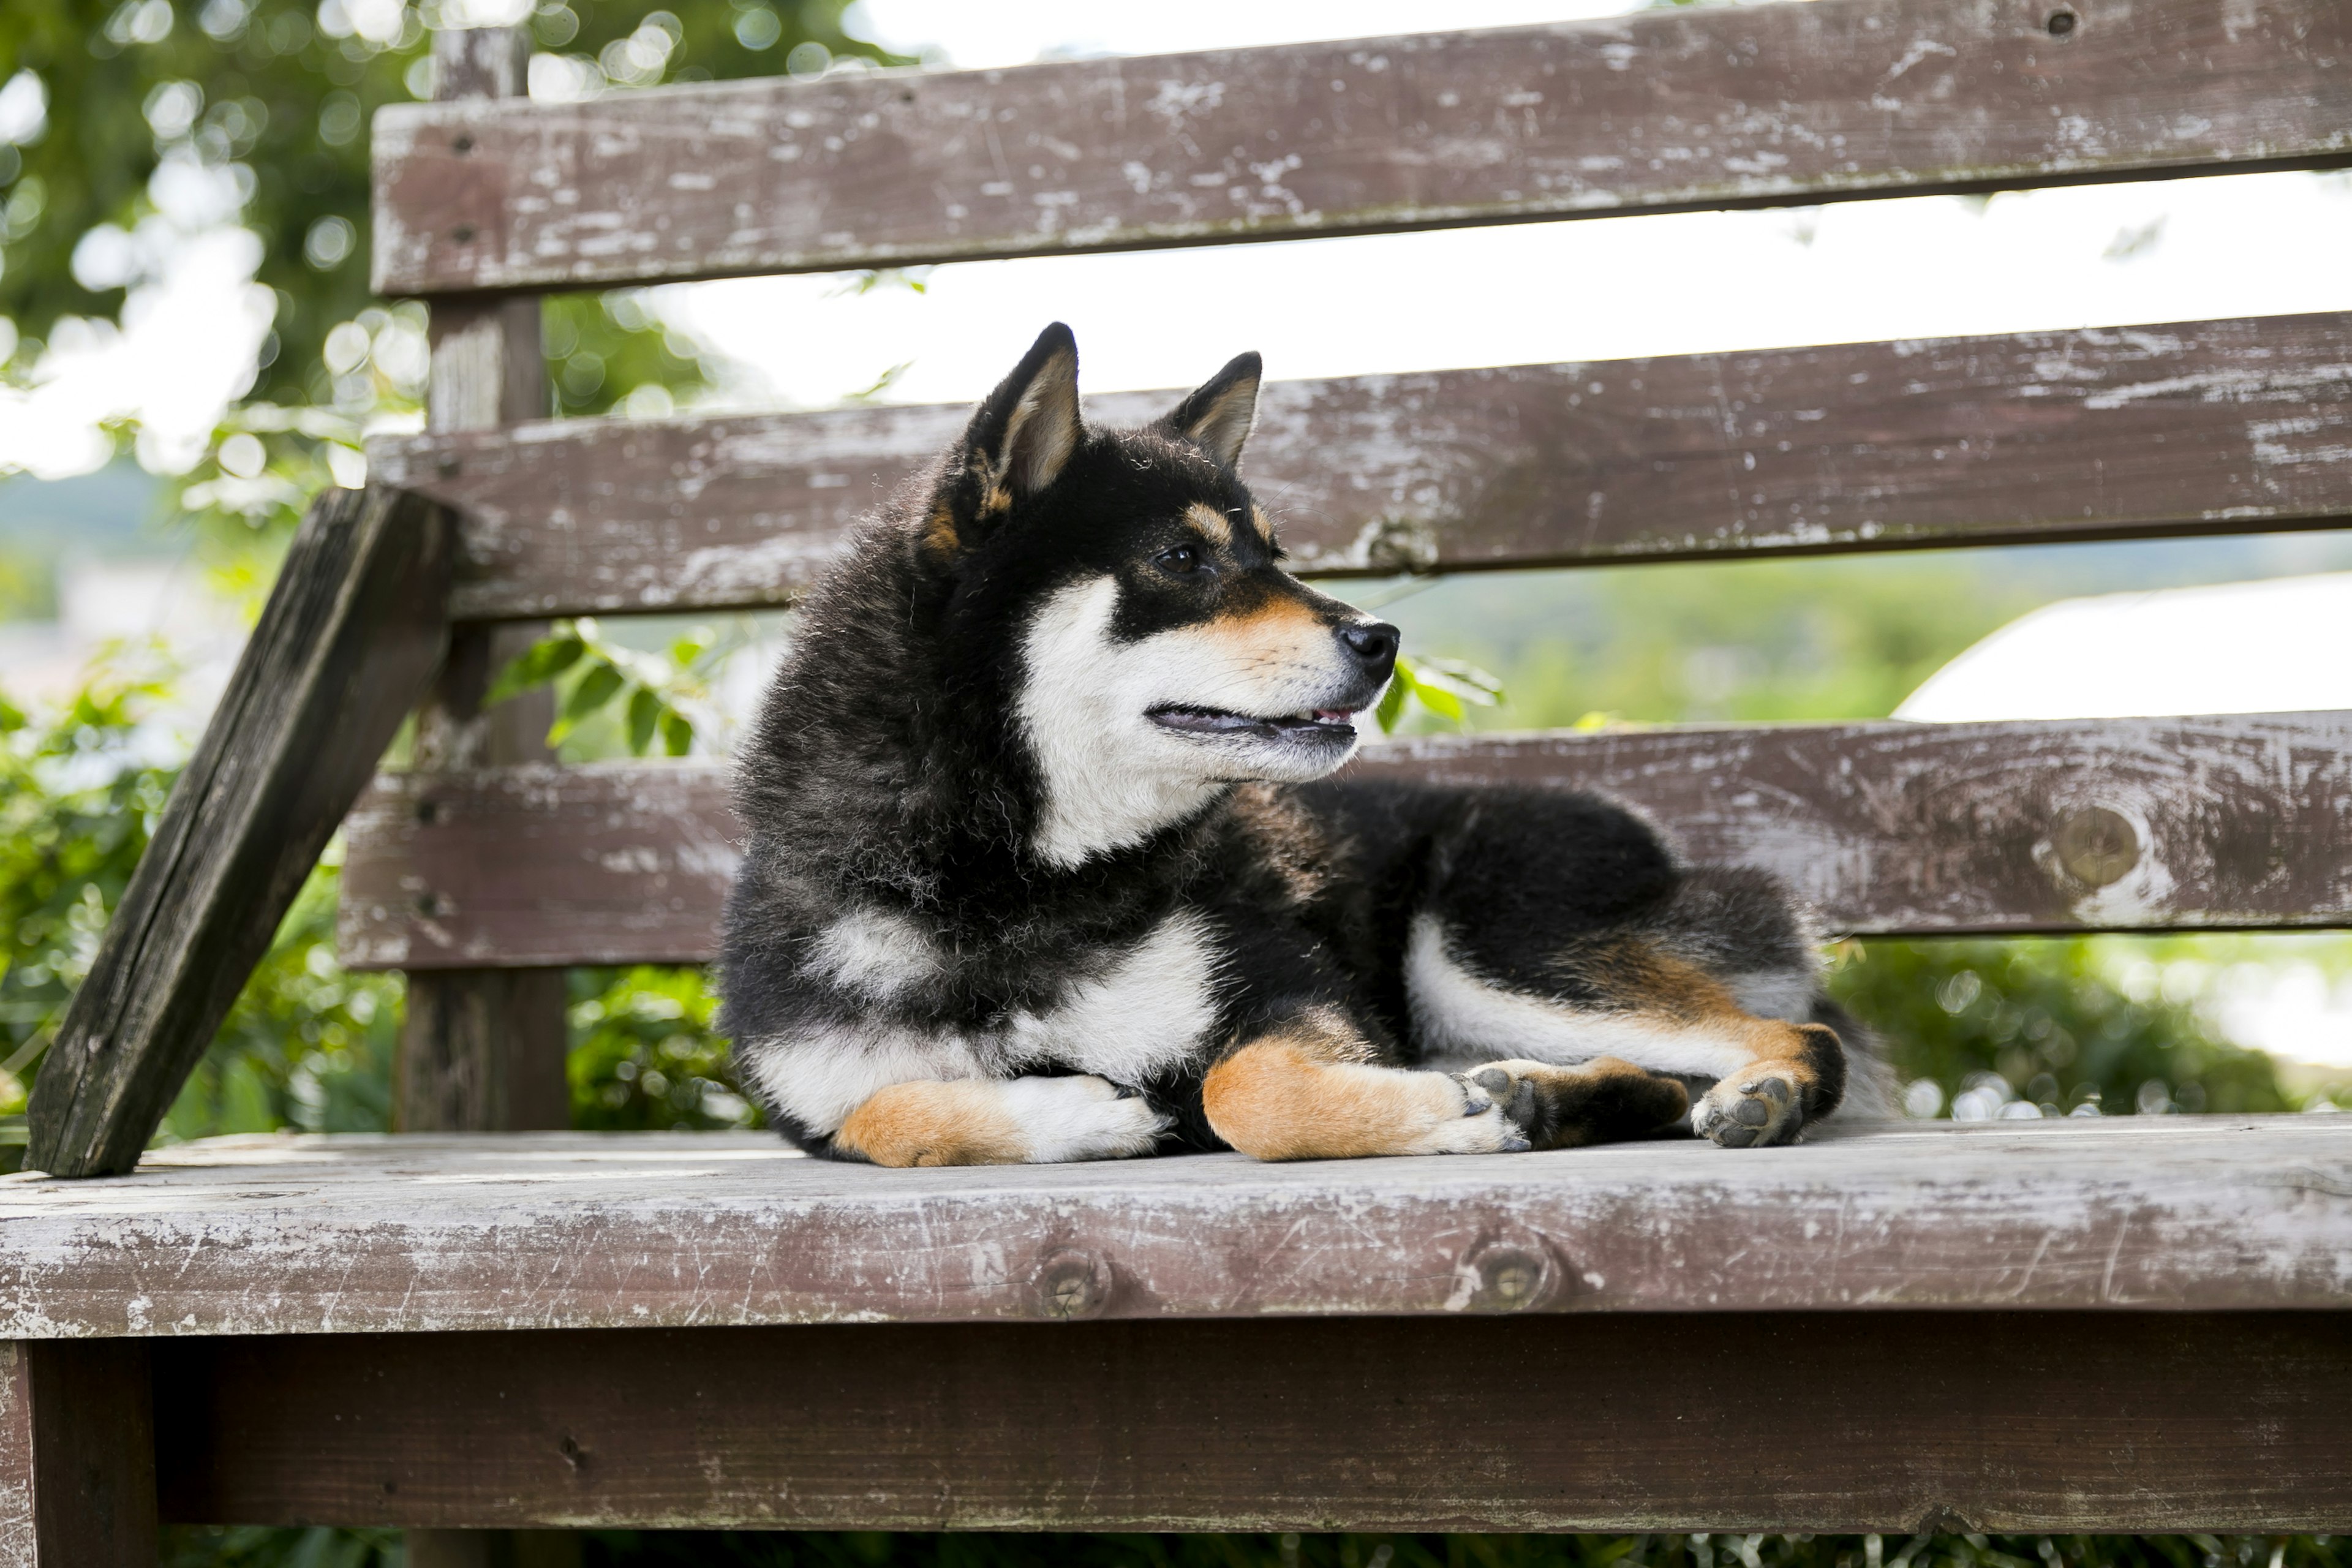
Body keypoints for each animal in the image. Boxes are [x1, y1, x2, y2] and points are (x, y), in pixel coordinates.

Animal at [715, 322, 1891, 1166]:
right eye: (1183, 558)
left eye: (1273, 555)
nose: (1381, 639)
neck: (1004, 887)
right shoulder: (812, 1096)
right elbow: (893, 1117)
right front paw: (1081, 1116)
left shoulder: (1295, 995)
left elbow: (1244, 1090)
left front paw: (1436, 1116)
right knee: (1652, 1082)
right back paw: (1543, 1097)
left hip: (1484, 945)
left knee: (1796, 1037)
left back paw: (1742, 1091)